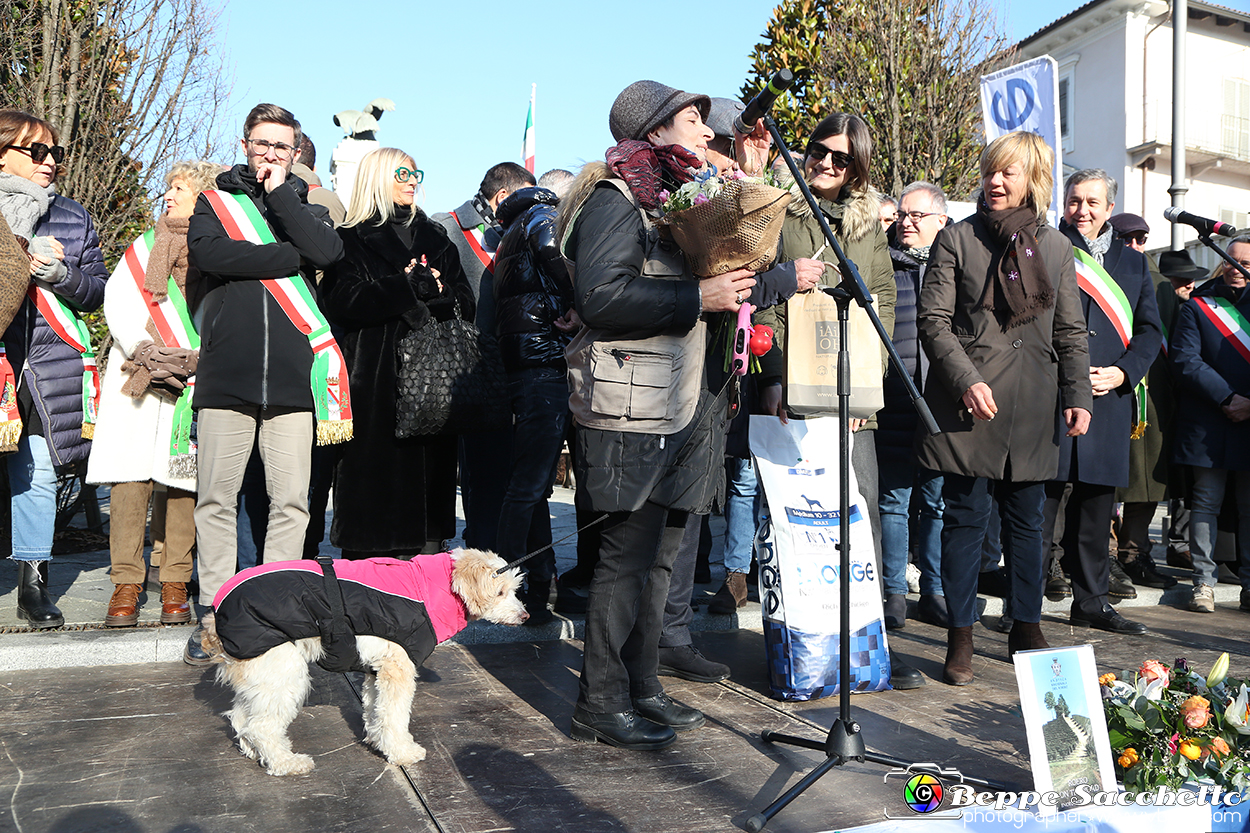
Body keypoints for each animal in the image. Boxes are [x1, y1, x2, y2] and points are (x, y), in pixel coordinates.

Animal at [202, 547, 525, 775]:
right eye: (499, 592)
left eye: (514, 590)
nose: (526, 616)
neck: (431, 586)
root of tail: (215, 615)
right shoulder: (398, 668)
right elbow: (395, 716)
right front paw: (403, 751)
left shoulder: (376, 669)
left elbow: (376, 709)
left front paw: (378, 741)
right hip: (283, 673)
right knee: (262, 726)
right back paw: (286, 763)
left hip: (262, 676)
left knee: (242, 719)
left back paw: (256, 753)